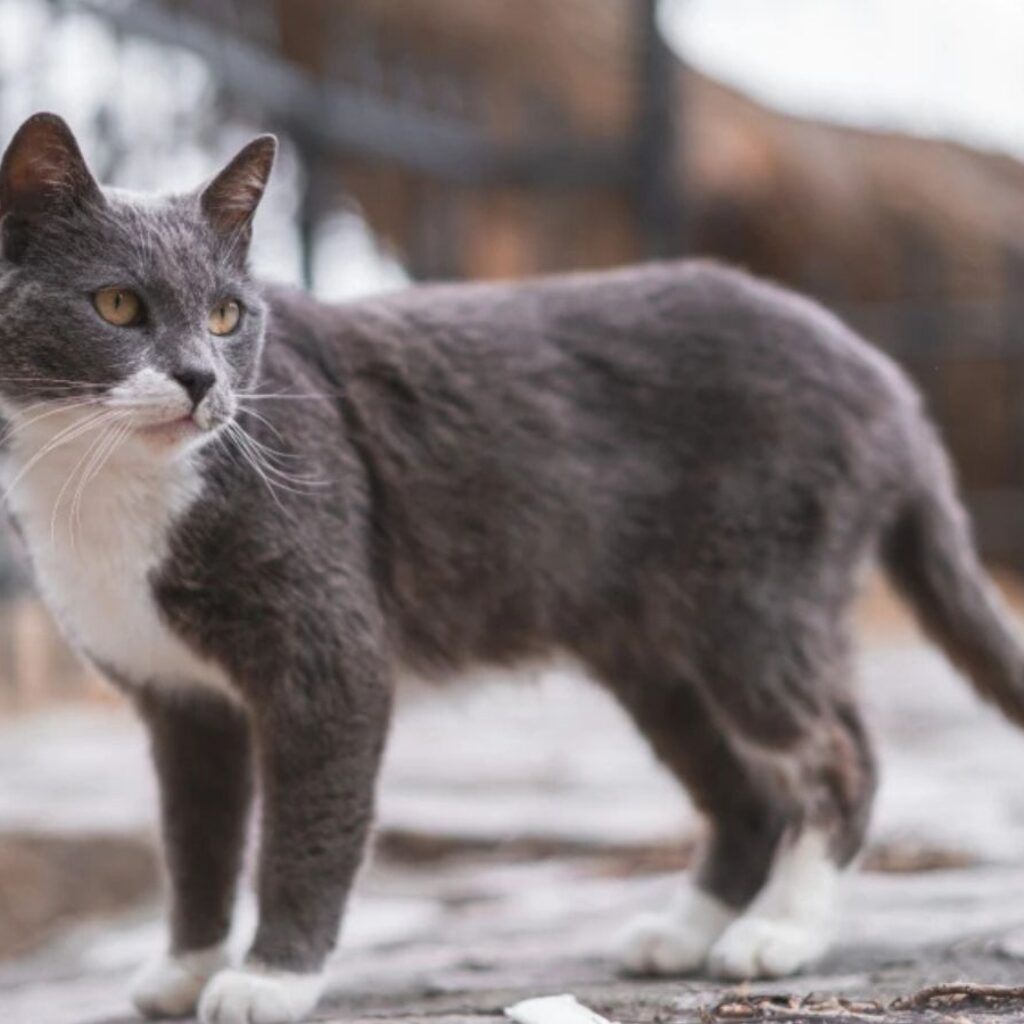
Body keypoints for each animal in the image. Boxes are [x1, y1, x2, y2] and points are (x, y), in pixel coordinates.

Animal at [2, 112, 1024, 1024]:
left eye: (226, 316)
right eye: (117, 304)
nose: (203, 380)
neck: (104, 489)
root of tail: (888, 383)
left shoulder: (329, 658)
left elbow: (307, 828)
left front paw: (271, 981)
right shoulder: (181, 701)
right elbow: (196, 839)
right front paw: (186, 968)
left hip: (758, 604)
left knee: (836, 755)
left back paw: (781, 931)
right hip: (655, 655)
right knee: (744, 794)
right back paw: (684, 932)